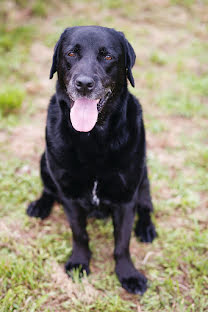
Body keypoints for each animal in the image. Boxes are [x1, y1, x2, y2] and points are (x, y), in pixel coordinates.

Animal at [27, 26, 156, 294]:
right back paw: (40, 205)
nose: (84, 84)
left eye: (108, 56)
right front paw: (78, 262)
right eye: (71, 53)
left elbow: (122, 243)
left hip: (144, 177)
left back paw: (146, 228)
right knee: (48, 189)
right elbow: (79, 234)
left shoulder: (125, 198)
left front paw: (128, 274)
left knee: (146, 206)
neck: (92, 137)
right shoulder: (69, 195)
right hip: (45, 160)